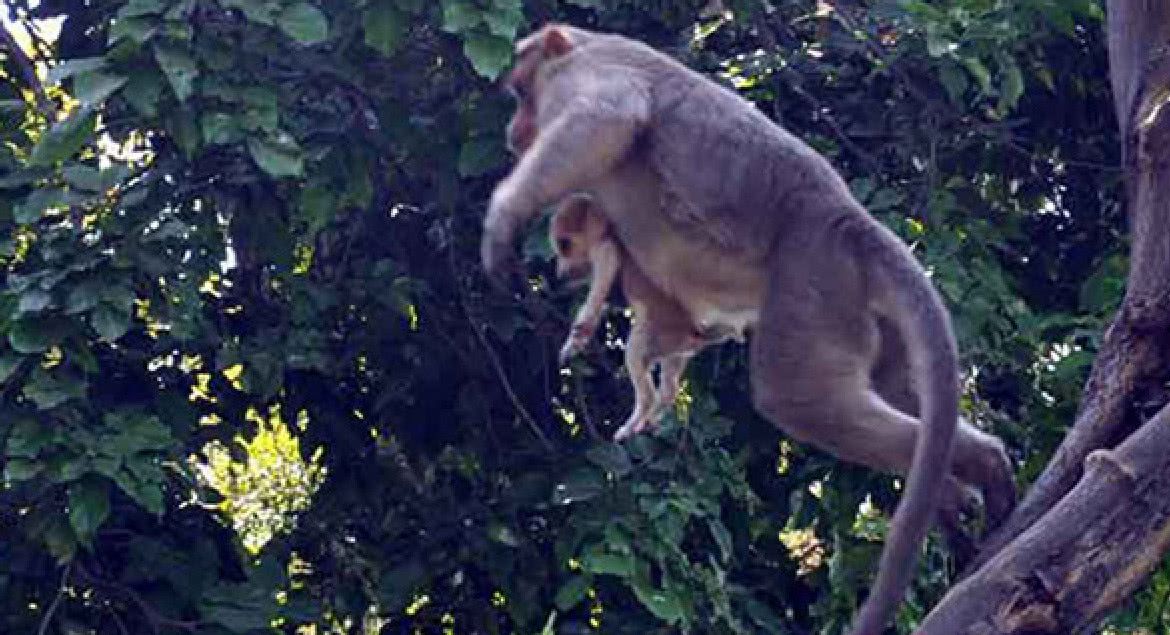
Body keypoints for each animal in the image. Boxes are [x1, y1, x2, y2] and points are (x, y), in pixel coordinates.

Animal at [549, 195, 734, 442]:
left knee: (645, 387)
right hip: (676, 352)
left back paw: (631, 426)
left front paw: (572, 344)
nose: (558, 273)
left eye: (565, 245)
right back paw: (652, 421)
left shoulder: (605, 253)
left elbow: (593, 305)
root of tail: (694, 332)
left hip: (651, 339)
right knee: (669, 388)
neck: (609, 229)